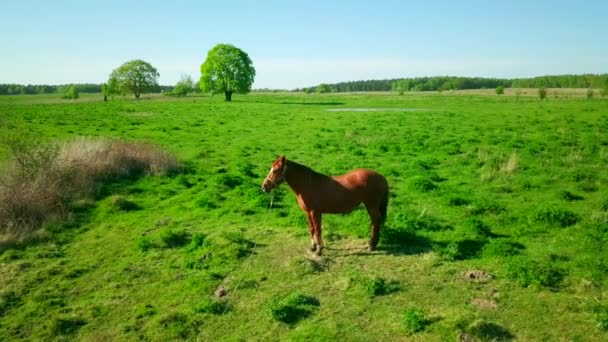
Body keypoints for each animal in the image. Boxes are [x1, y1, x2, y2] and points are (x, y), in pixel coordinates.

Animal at [262, 156, 390, 255]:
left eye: (276, 170)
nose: (264, 187)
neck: (308, 184)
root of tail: (381, 177)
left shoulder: (315, 212)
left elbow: (318, 230)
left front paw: (319, 250)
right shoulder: (309, 213)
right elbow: (312, 229)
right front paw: (313, 247)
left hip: (371, 205)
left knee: (376, 222)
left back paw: (371, 245)